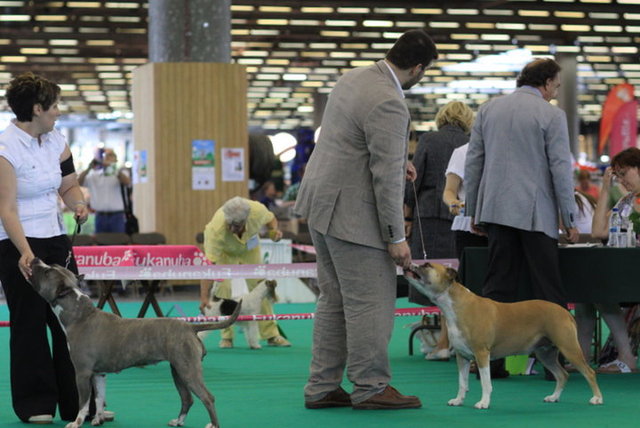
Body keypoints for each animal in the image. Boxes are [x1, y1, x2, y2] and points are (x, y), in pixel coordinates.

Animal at [29, 258, 242, 428]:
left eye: (48, 271)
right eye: (51, 266)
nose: (35, 259)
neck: (79, 315)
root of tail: (190, 327)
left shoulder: (82, 373)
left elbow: (83, 402)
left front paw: (76, 422)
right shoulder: (98, 373)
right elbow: (99, 398)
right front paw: (98, 419)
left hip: (188, 370)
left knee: (207, 397)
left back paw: (213, 425)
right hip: (179, 369)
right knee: (187, 398)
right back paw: (178, 421)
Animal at [408, 262, 604, 410]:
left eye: (427, 265)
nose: (410, 264)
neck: (455, 304)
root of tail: (565, 312)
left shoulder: (481, 354)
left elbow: (486, 382)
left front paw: (484, 402)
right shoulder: (462, 356)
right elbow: (462, 382)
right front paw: (458, 400)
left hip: (569, 348)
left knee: (589, 372)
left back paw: (597, 398)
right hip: (545, 353)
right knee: (562, 375)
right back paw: (553, 397)